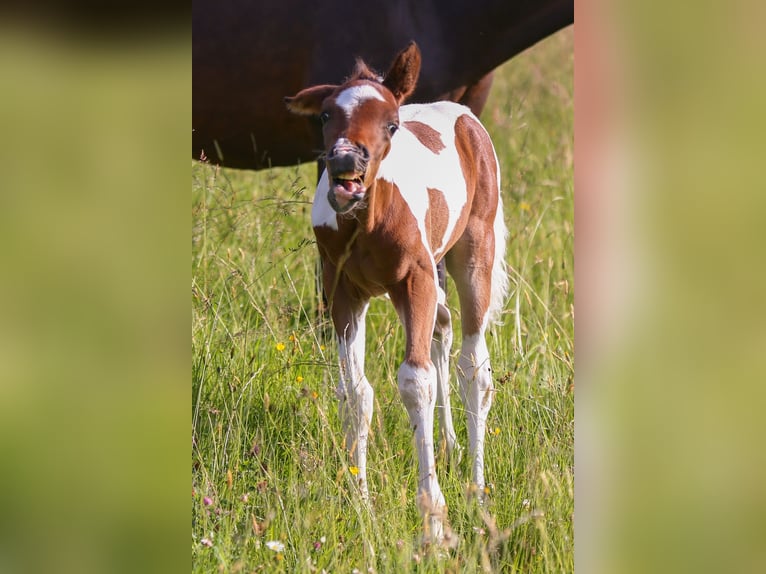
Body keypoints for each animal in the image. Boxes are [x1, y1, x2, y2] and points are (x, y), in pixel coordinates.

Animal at [284, 42, 508, 544]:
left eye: (391, 123)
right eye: (326, 115)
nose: (346, 165)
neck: (366, 221)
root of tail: (463, 115)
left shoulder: (415, 281)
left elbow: (414, 382)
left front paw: (434, 519)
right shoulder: (343, 292)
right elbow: (356, 392)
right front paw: (360, 501)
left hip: (472, 253)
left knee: (473, 367)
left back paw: (478, 492)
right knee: (443, 330)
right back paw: (448, 445)